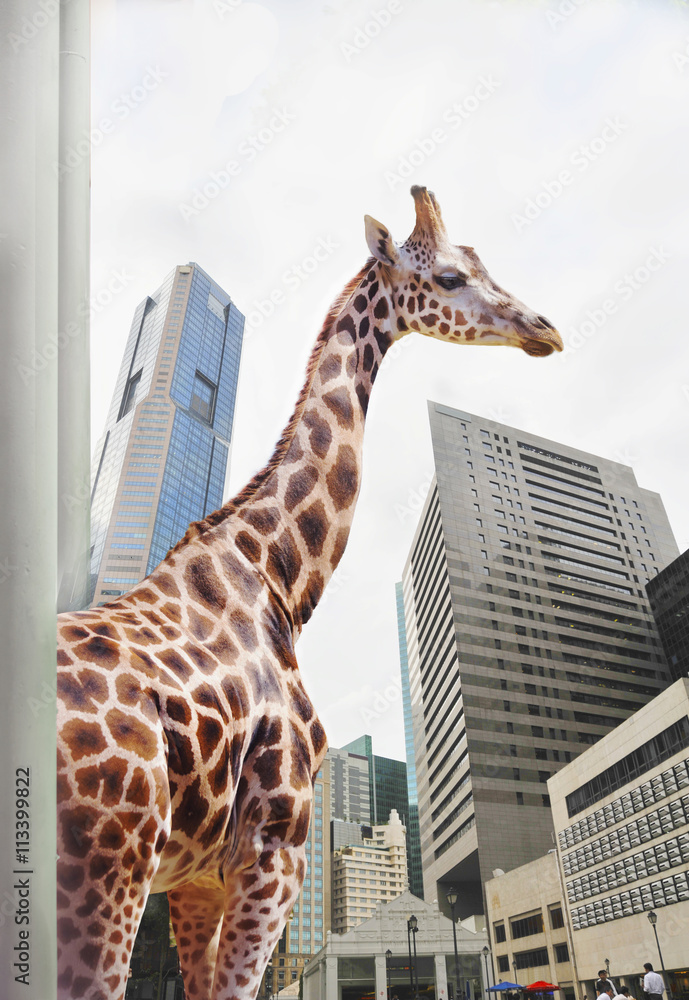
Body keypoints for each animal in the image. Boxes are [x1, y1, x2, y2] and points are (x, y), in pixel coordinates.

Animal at [56, 186, 562, 1000]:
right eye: (451, 277)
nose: (545, 329)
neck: (276, 580)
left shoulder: (197, 880)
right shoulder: (273, 852)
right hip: (108, 873)